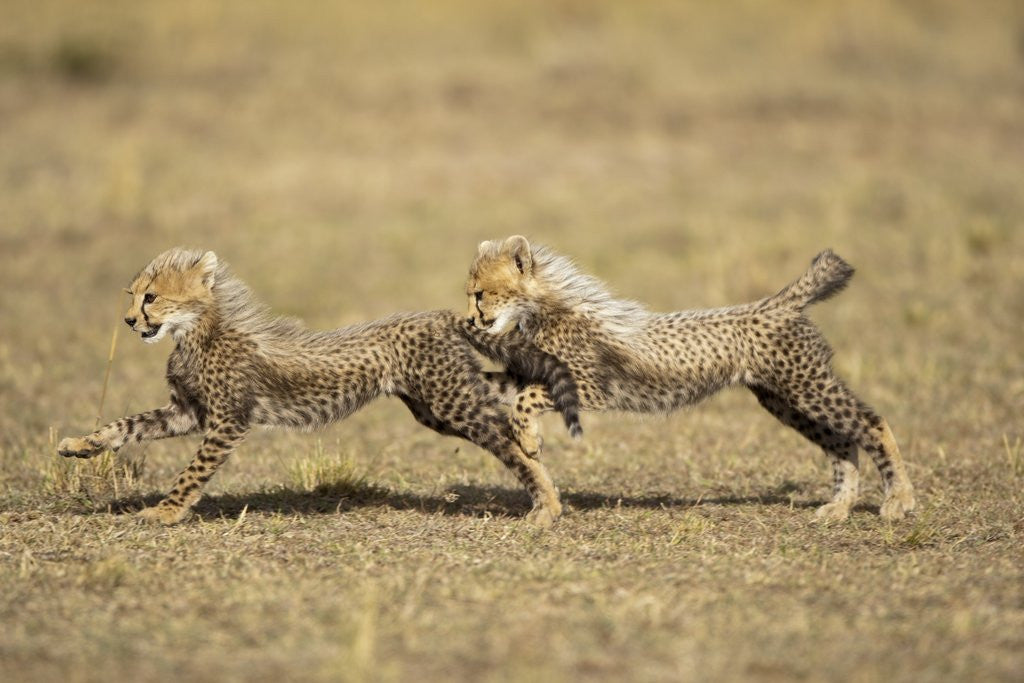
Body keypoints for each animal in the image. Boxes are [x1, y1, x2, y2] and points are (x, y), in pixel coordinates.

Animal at [57, 247, 582, 527]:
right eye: (133, 297)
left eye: (151, 298)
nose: (129, 321)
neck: (196, 332)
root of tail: (441, 314)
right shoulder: (187, 411)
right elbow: (126, 425)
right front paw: (81, 444)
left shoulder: (227, 421)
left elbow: (192, 472)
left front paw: (165, 512)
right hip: (433, 407)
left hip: (452, 401)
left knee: (508, 438)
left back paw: (547, 503)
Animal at [465, 235, 916, 523]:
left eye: (479, 293)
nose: (470, 319)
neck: (541, 309)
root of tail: (777, 302)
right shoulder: (527, 376)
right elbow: (500, 386)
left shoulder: (589, 388)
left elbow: (526, 400)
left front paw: (529, 439)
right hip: (784, 400)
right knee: (842, 442)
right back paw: (840, 508)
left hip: (805, 387)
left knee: (872, 423)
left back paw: (899, 500)